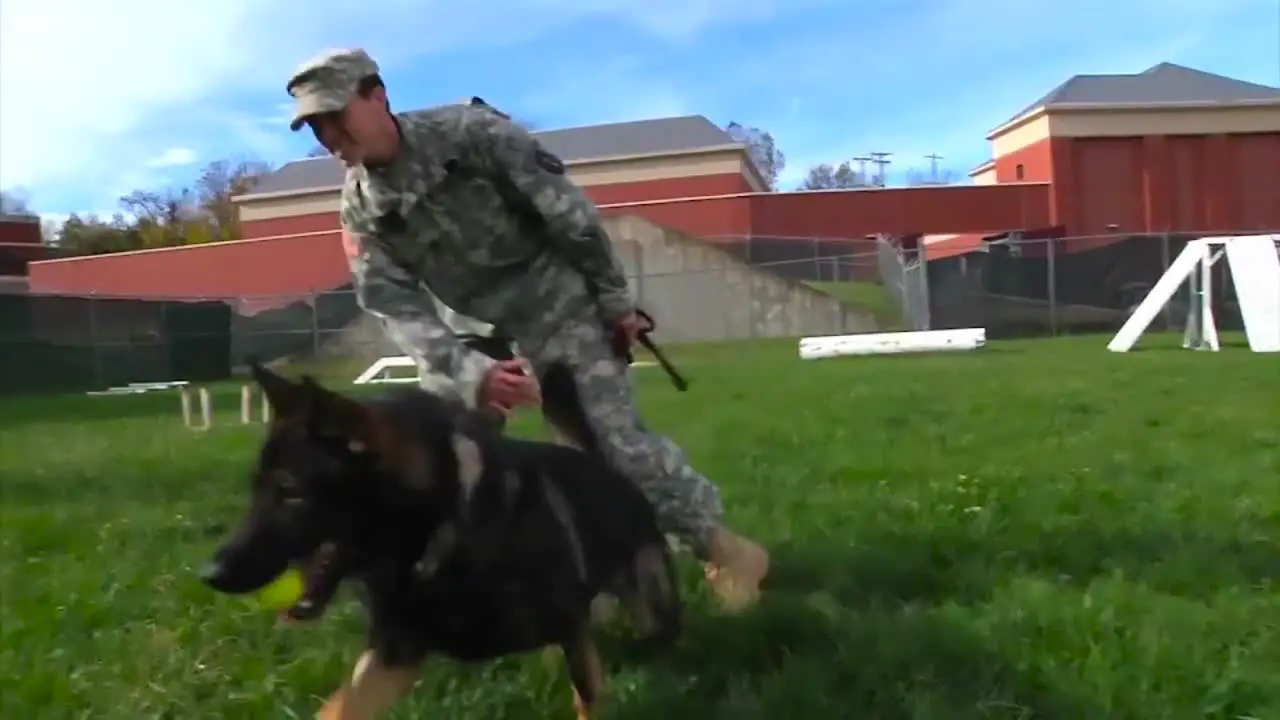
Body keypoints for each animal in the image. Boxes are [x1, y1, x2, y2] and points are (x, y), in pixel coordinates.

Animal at [199, 363, 680, 717]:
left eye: (291, 493)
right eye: (256, 489)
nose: (209, 574)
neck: (437, 539)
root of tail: (606, 469)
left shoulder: (572, 634)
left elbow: (587, 696)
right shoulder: (391, 654)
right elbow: (336, 709)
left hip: (652, 604)